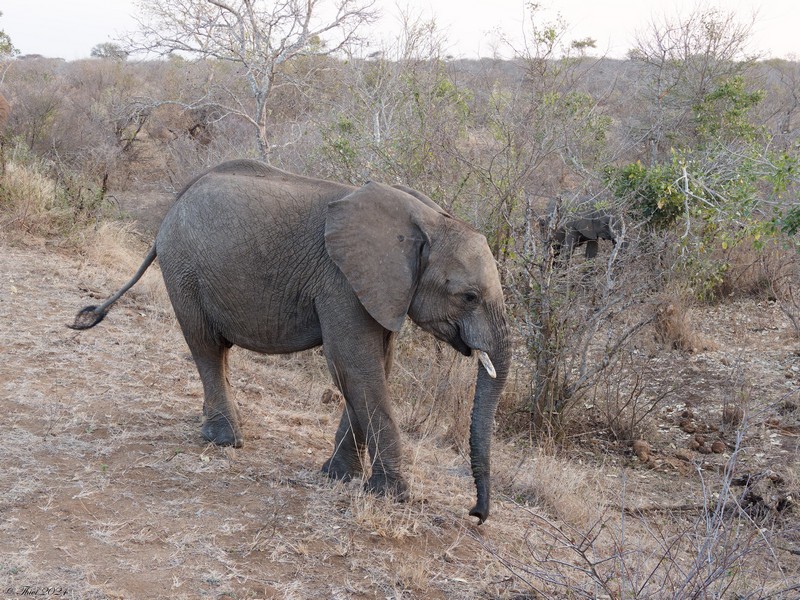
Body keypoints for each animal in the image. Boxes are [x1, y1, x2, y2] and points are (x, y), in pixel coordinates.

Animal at [72, 158, 510, 520]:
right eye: (469, 297)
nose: (475, 514)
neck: (429, 220)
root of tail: (174, 204)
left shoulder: (379, 289)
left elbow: (372, 368)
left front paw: (338, 477)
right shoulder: (341, 282)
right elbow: (354, 364)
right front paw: (391, 496)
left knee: (218, 350)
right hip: (183, 269)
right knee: (205, 345)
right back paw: (225, 440)